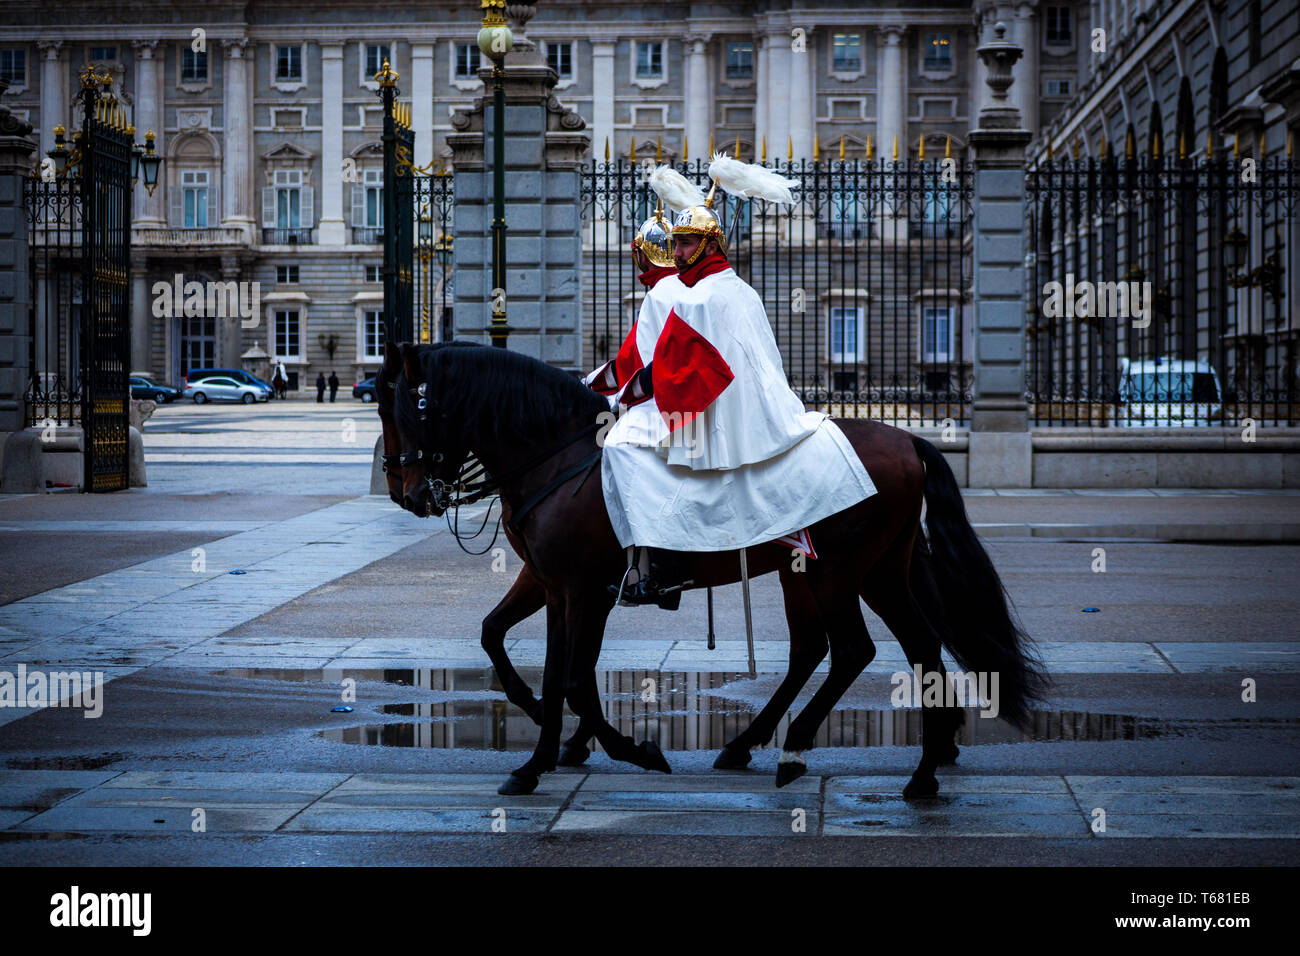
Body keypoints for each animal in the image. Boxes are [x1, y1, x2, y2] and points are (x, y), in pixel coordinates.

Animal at [387, 343, 1045, 801]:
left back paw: (802, 749)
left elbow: (573, 678)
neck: (559, 457)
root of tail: (908, 439)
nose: (408, 494)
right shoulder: (551, 585)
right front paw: (539, 754)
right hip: (865, 571)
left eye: (411, 410)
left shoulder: (584, 589)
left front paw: (629, 750)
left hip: (836, 571)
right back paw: (910, 770)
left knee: (853, 649)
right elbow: (517, 650)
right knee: (902, 647)